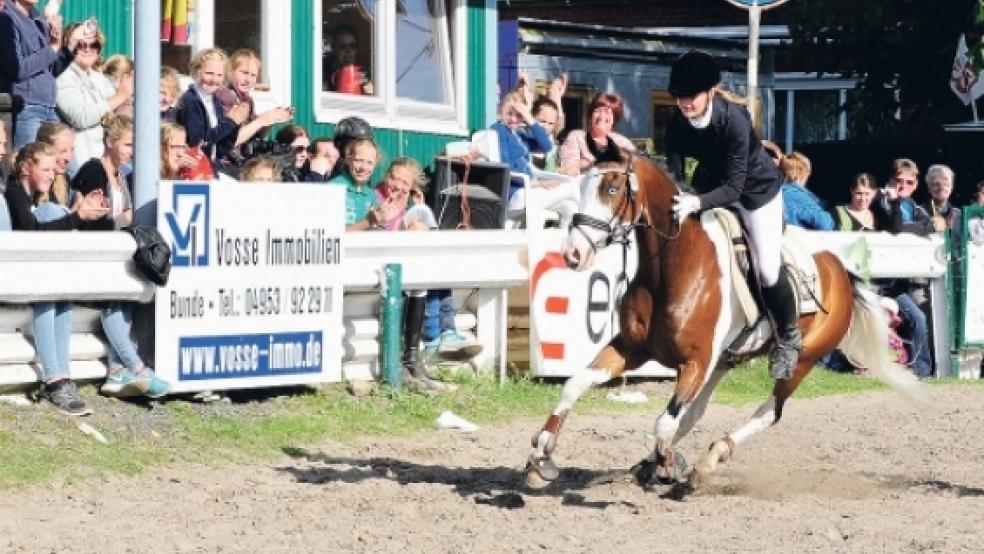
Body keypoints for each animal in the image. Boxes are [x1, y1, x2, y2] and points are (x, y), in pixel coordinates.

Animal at [528, 152, 920, 488]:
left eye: (611, 189)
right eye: (579, 188)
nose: (573, 254)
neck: (670, 266)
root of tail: (841, 271)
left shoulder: (696, 362)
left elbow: (664, 422)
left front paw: (669, 464)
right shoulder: (631, 349)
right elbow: (575, 384)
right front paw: (542, 456)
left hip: (801, 361)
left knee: (770, 412)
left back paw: (708, 460)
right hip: (725, 361)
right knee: (697, 411)